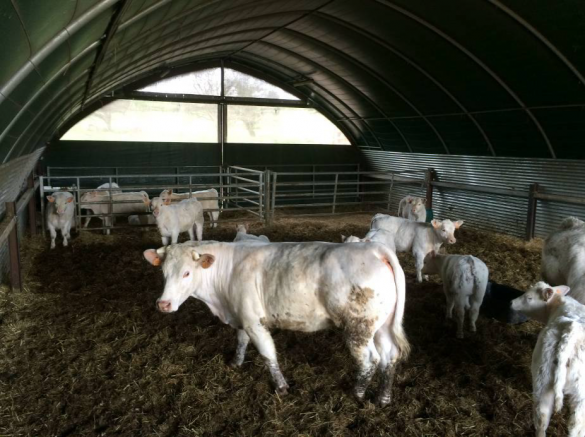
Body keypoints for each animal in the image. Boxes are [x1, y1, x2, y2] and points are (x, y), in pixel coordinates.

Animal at [142, 240, 408, 404]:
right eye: (164, 273)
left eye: (187, 273)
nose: (163, 304)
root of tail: (374, 249)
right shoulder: (242, 315)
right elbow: (241, 341)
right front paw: (236, 363)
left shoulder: (254, 322)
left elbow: (268, 353)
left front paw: (281, 387)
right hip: (382, 326)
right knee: (390, 356)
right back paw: (383, 399)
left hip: (358, 328)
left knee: (370, 360)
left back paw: (357, 393)